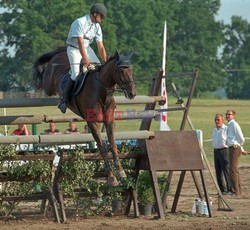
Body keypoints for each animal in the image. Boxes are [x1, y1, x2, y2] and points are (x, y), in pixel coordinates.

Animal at [33, 47, 137, 186]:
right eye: (121, 70)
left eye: (131, 70)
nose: (132, 93)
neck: (101, 89)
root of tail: (59, 53)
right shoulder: (93, 123)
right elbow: (102, 148)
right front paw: (111, 177)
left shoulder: (109, 121)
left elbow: (113, 145)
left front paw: (121, 172)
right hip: (49, 85)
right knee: (45, 80)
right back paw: (40, 78)